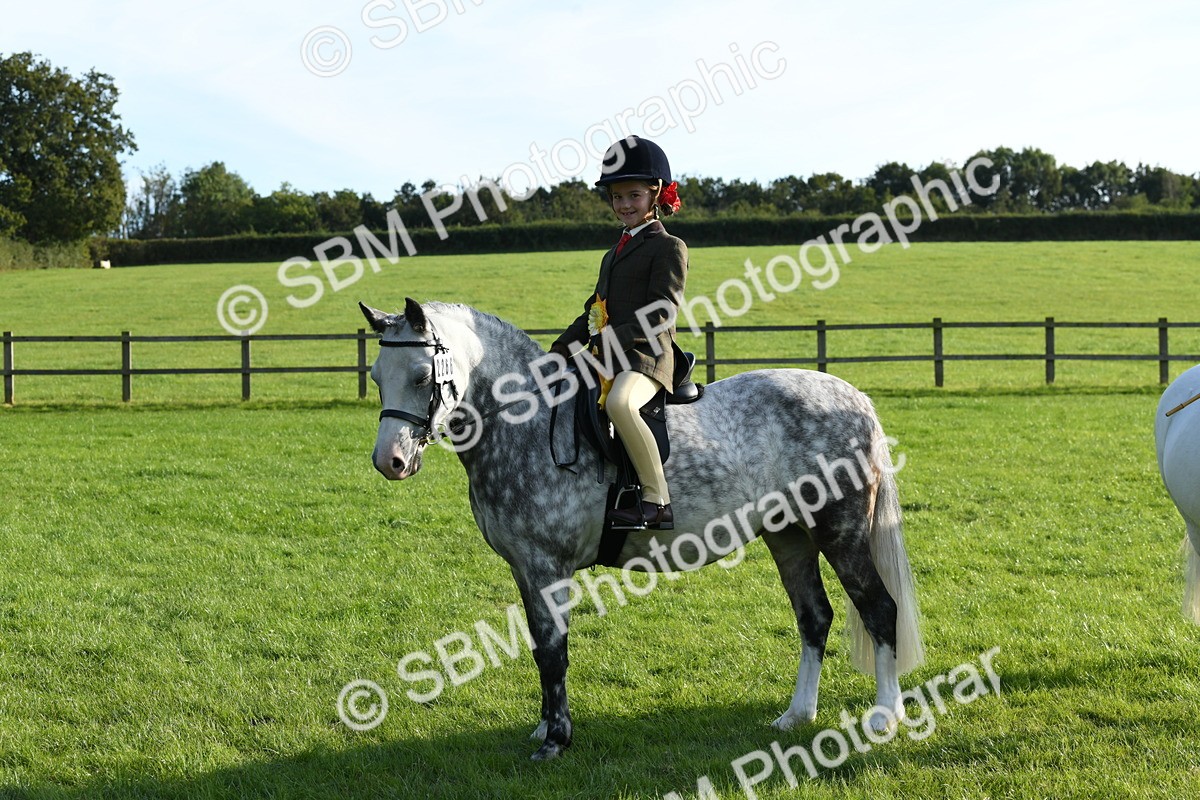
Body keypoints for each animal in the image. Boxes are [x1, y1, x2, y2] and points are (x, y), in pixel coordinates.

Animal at [359, 298, 924, 760]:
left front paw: (556, 740)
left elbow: (554, 650)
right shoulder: (524, 568)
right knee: (814, 618)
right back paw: (796, 715)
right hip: (788, 537)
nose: (390, 462)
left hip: (839, 533)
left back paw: (884, 717)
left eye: (421, 376)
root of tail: (855, 398)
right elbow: (541, 647)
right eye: (377, 375)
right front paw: (544, 728)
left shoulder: (546, 566)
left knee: (879, 609)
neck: (527, 423)